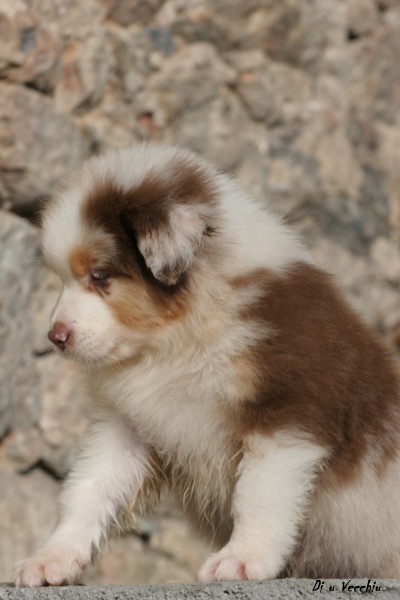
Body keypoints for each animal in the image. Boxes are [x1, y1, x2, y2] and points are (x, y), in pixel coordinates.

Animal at [15, 144, 400, 586]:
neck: (175, 341)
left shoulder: (289, 411)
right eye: (63, 279)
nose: (55, 337)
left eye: (100, 275)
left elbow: (258, 493)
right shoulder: (127, 426)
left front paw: (243, 558)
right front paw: (51, 558)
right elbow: (89, 489)